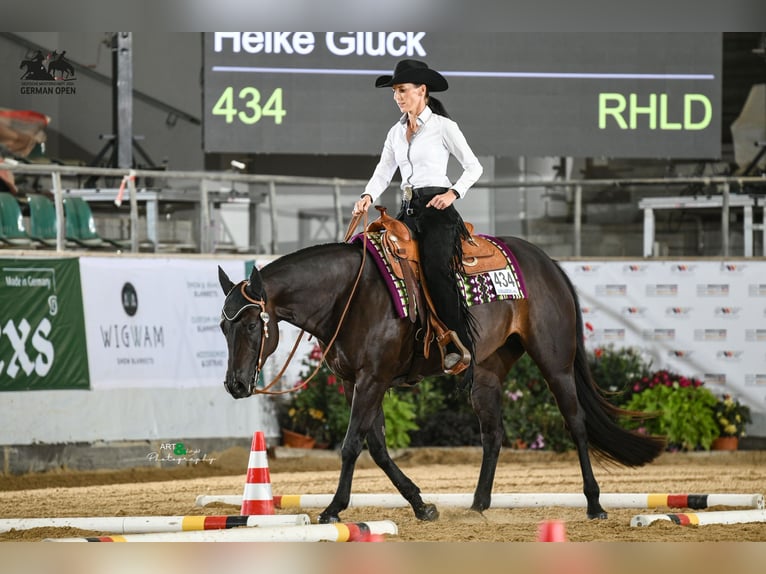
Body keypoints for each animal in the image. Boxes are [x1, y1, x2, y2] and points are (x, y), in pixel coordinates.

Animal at [217, 235, 665, 523]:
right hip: (487, 372)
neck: (351, 294)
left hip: (555, 362)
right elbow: (377, 447)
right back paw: (479, 503)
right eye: (223, 327)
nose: (235, 385)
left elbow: (351, 446)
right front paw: (421, 504)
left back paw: (595, 504)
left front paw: (332, 509)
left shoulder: (373, 379)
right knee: (493, 434)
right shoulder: (353, 382)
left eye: (253, 326)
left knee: (576, 424)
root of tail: (547, 262)